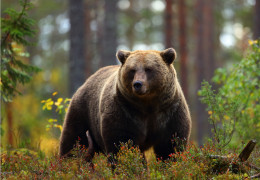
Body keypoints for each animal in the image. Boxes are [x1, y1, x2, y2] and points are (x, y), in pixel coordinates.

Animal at [59, 47, 191, 160]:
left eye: (148, 69)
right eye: (132, 70)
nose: (138, 84)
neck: (148, 105)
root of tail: (86, 81)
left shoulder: (170, 111)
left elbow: (170, 146)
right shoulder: (124, 112)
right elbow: (122, 144)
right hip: (83, 112)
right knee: (73, 140)